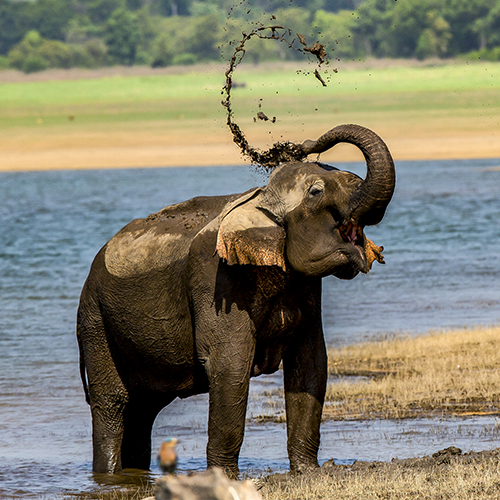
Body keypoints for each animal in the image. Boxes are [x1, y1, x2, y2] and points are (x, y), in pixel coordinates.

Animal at [76, 124, 394, 476]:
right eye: (316, 192)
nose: (305, 144)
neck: (259, 198)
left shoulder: (305, 285)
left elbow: (310, 360)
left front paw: (308, 471)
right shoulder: (215, 275)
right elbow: (230, 364)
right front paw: (223, 476)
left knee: (144, 408)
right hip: (95, 319)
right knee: (113, 403)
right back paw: (108, 472)